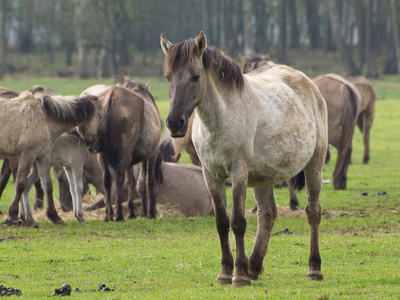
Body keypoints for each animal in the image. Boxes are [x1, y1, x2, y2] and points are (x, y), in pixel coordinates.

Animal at [80, 83, 162, 221]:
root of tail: (111, 97)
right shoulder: (152, 154)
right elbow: (148, 181)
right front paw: (150, 212)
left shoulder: (131, 160)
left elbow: (132, 182)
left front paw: (132, 212)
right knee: (119, 176)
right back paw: (118, 214)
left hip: (102, 154)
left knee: (107, 178)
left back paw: (109, 214)